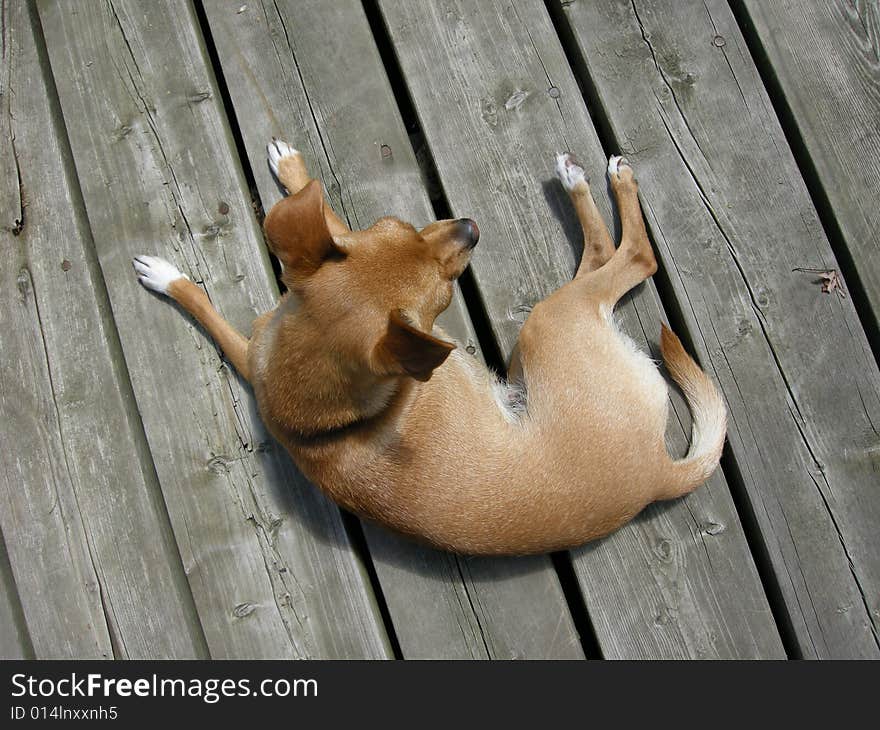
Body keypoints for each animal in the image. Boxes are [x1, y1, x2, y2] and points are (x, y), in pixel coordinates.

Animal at [134, 141, 724, 552]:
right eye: (445, 292)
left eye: (401, 224)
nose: (469, 225)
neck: (318, 420)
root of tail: (657, 476)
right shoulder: (249, 352)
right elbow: (207, 308)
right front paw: (169, 278)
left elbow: (326, 223)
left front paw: (293, 170)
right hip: (548, 324)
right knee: (632, 258)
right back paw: (584, 177)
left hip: (549, 326)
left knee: (629, 257)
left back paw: (588, 178)